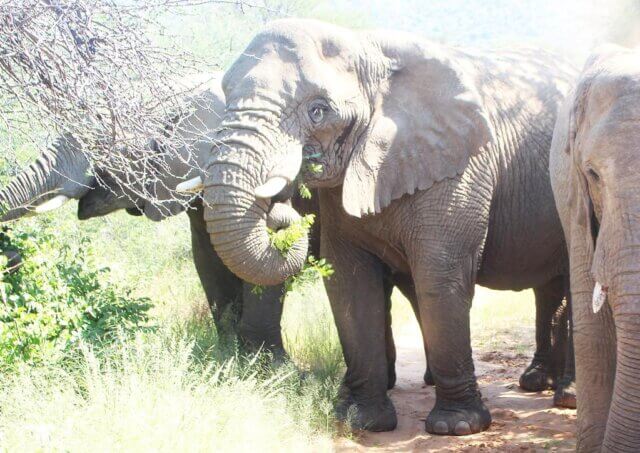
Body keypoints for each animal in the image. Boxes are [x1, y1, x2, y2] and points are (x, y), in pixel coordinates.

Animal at [181, 19, 579, 434]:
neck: (369, 49)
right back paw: (539, 382)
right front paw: (362, 421)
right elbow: (350, 282)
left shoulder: (460, 167)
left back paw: (565, 396)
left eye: (318, 111)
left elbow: (440, 275)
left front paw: (456, 427)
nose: (280, 209)